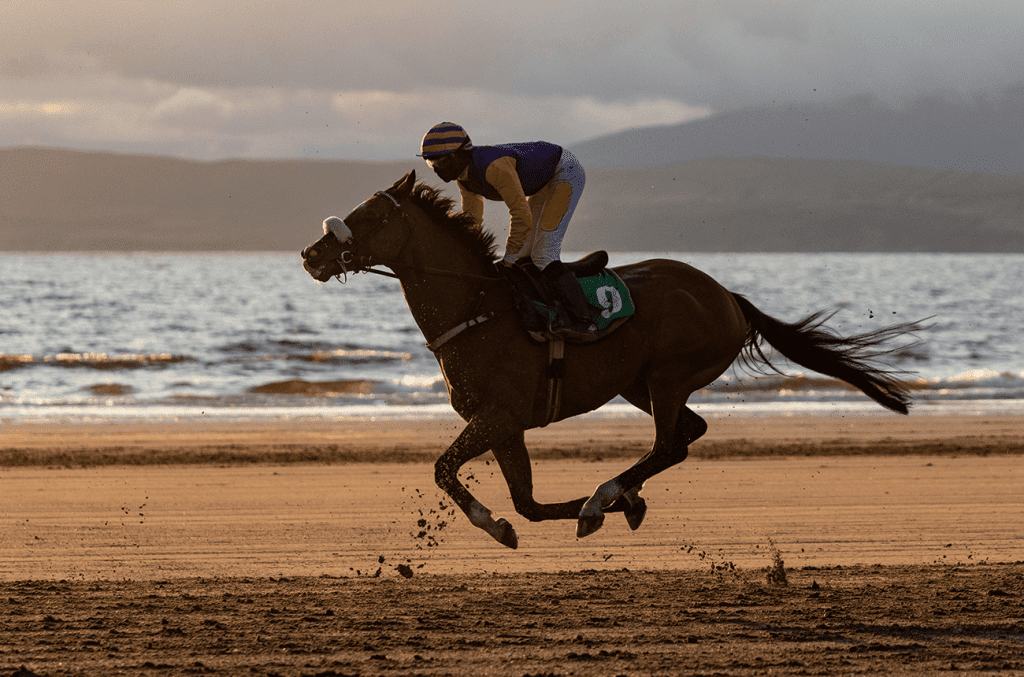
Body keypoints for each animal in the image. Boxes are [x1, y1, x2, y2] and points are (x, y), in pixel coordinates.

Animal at [299, 170, 925, 548]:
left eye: (372, 217)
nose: (311, 253)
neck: (478, 309)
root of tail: (727, 296)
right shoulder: (503, 424)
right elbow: (525, 504)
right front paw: (591, 511)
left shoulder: (498, 415)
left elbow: (444, 470)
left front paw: (527, 520)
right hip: (638, 384)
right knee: (688, 433)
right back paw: (618, 496)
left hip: (669, 375)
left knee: (671, 444)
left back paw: (606, 495)